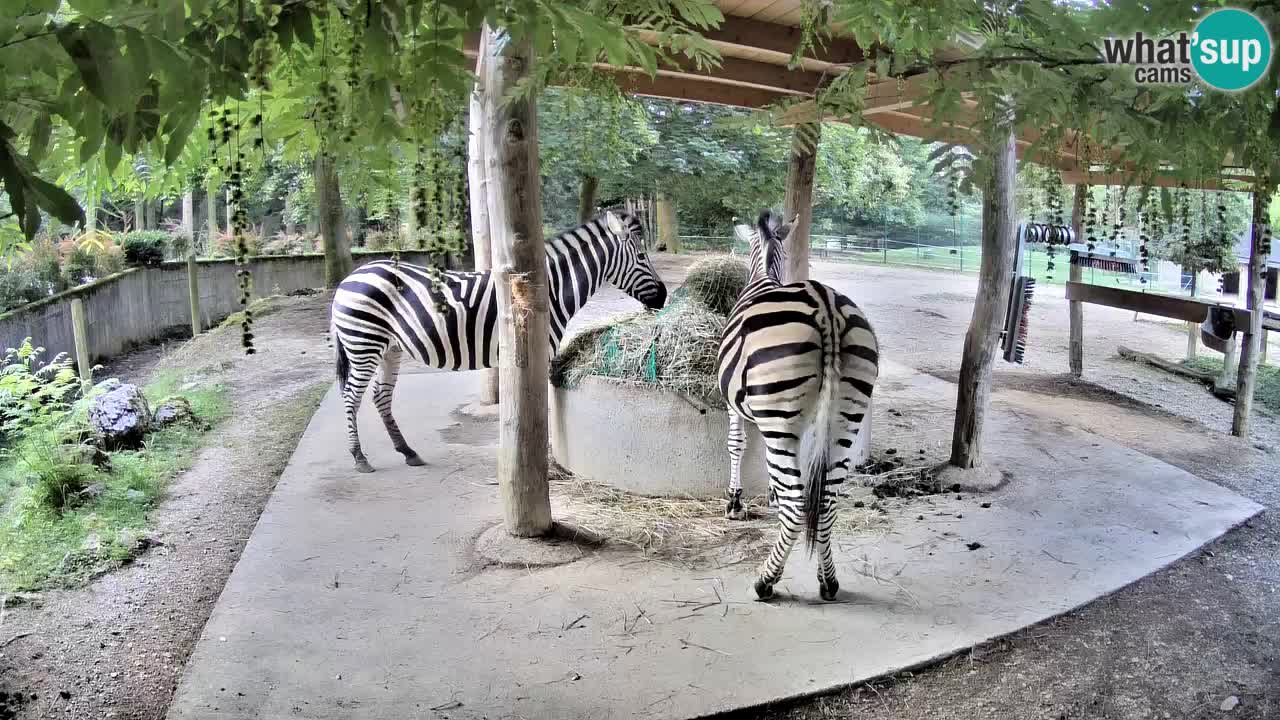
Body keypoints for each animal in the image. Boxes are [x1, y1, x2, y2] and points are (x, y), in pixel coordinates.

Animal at [330, 210, 670, 474]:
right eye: (642, 256)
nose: (664, 297)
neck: (549, 290)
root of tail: (350, 277)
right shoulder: (538, 352)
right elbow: (539, 409)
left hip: (390, 348)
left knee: (380, 395)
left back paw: (407, 452)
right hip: (364, 343)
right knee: (351, 396)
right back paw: (359, 457)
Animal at [716, 208, 875, 599]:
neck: (764, 275)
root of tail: (826, 307)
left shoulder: (735, 405)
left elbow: (737, 445)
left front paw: (735, 502)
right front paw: (770, 492)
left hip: (780, 415)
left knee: (797, 504)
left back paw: (765, 581)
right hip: (843, 418)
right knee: (826, 500)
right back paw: (828, 581)